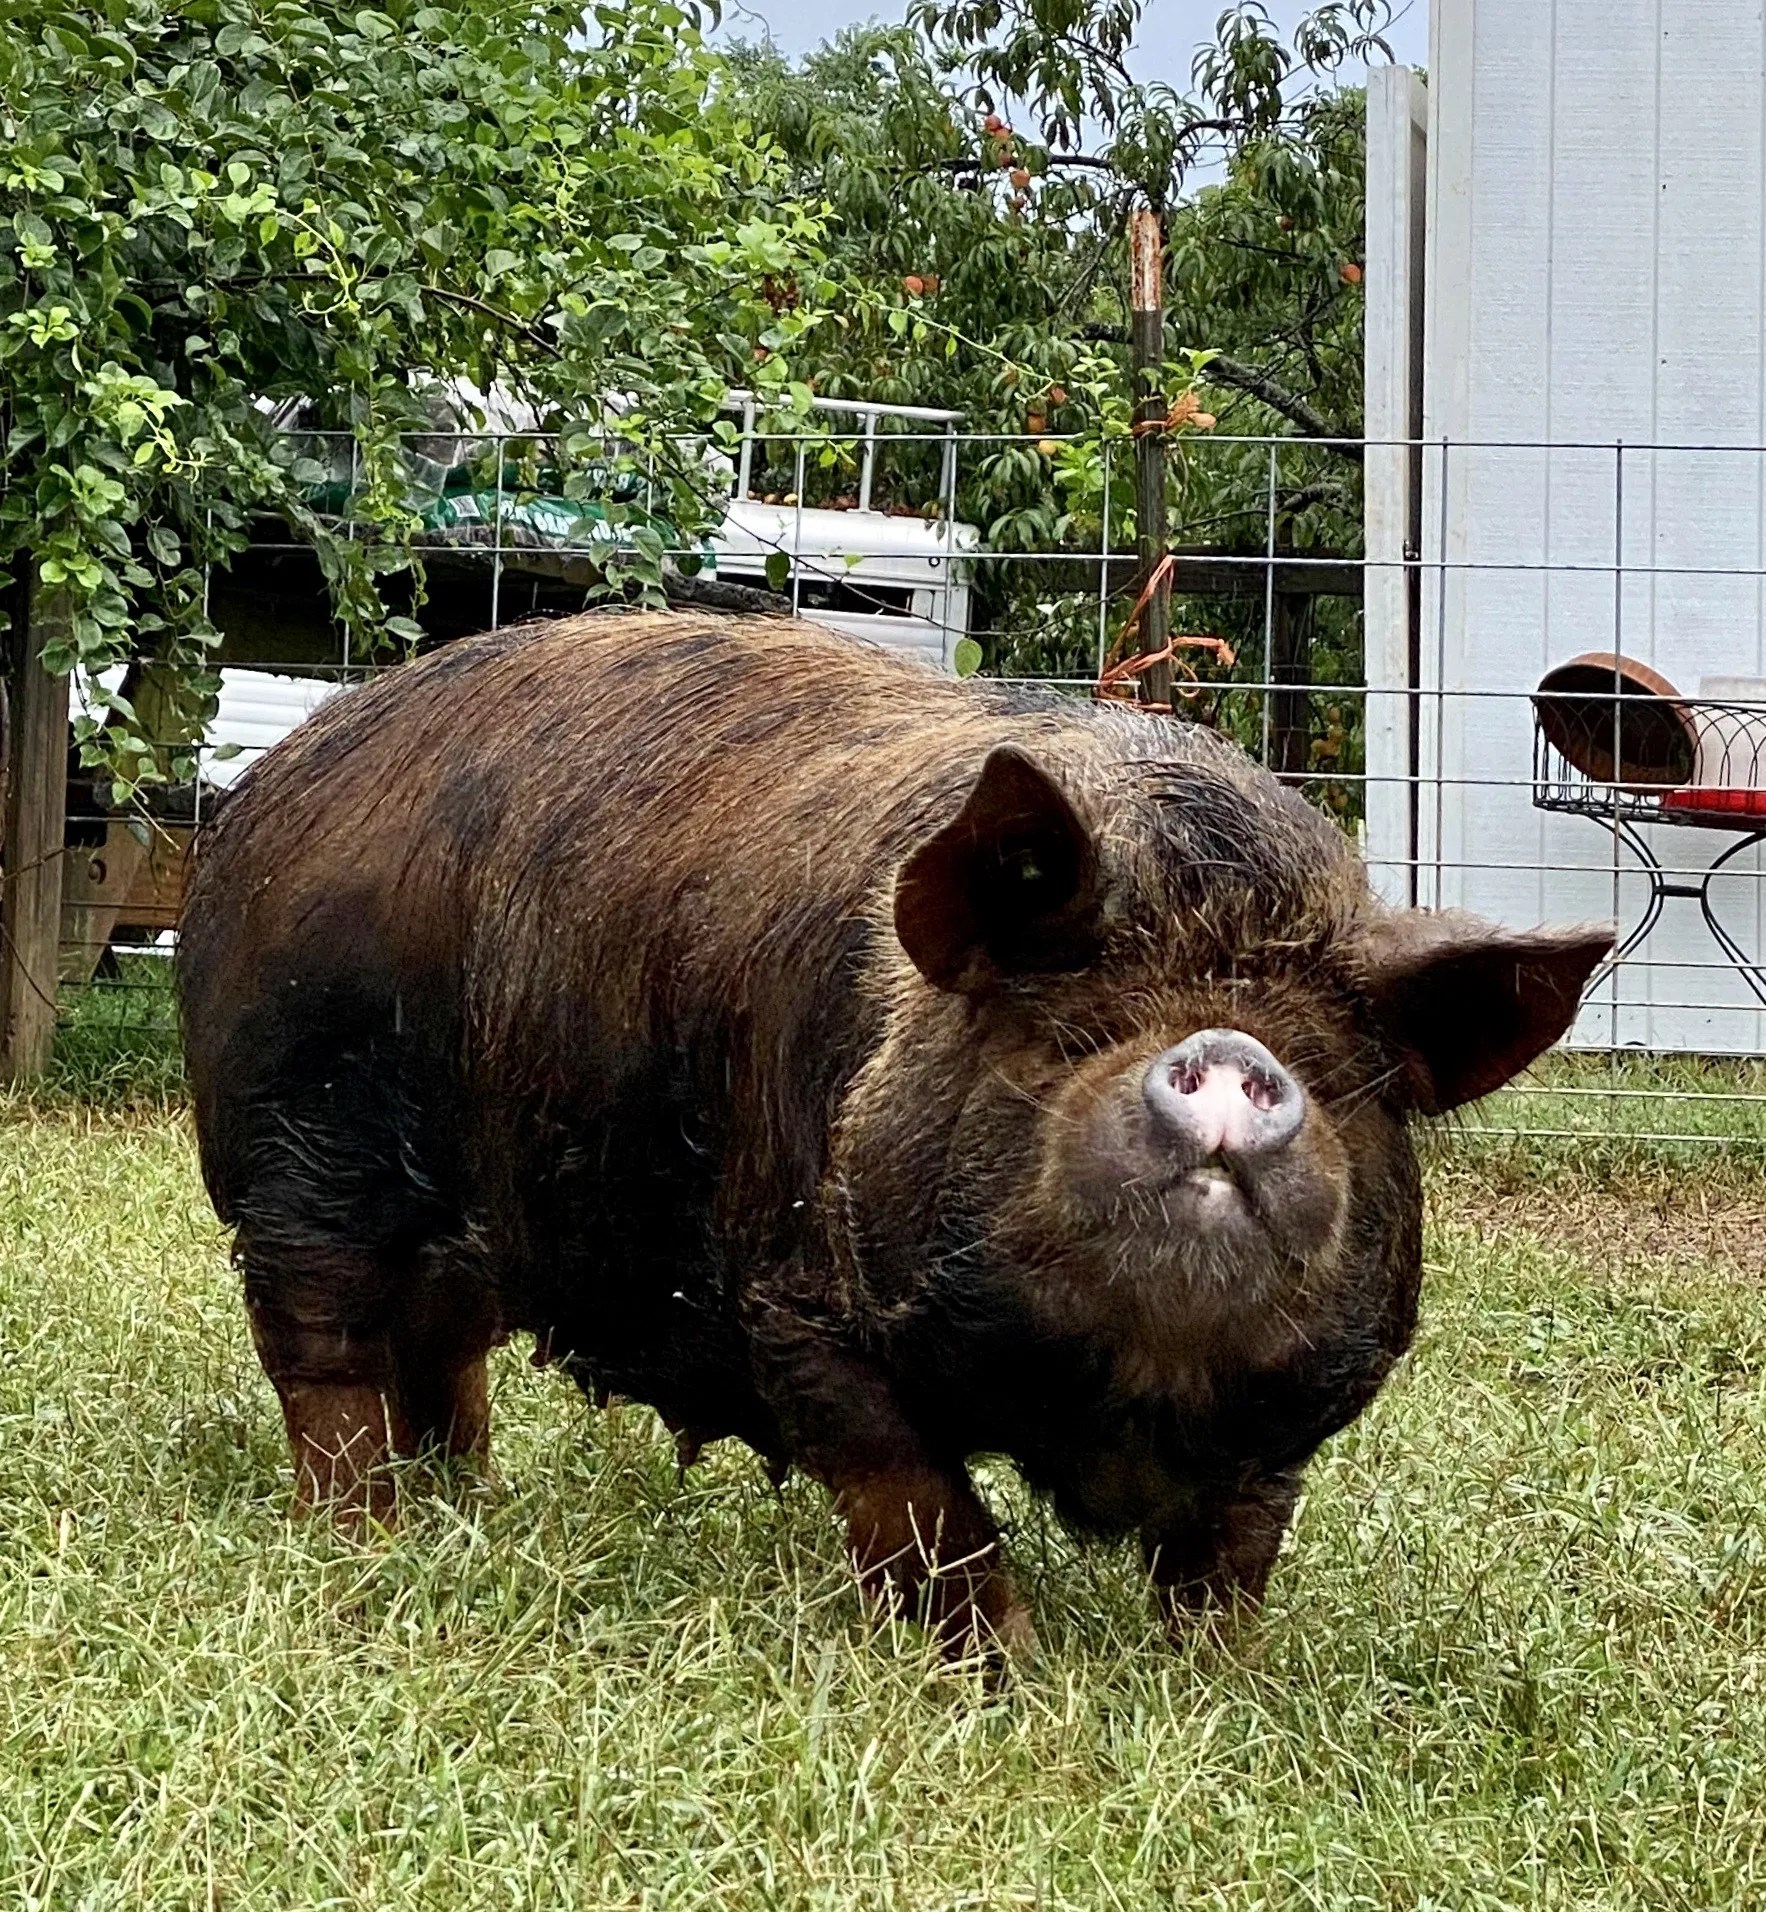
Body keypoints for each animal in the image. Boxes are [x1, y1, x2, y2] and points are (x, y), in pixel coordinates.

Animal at [177, 610, 1611, 1656]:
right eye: (1073, 1033)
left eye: (1329, 1071)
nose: (1236, 1059)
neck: (1118, 1397)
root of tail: (274, 784)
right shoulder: (792, 1302)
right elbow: (923, 1506)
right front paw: (1008, 1678)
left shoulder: (1290, 1416)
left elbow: (1229, 1558)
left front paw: (1214, 1682)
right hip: (296, 1128)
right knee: (321, 1346)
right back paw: (363, 1538)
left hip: (470, 1202)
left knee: (442, 1343)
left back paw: (466, 1506)